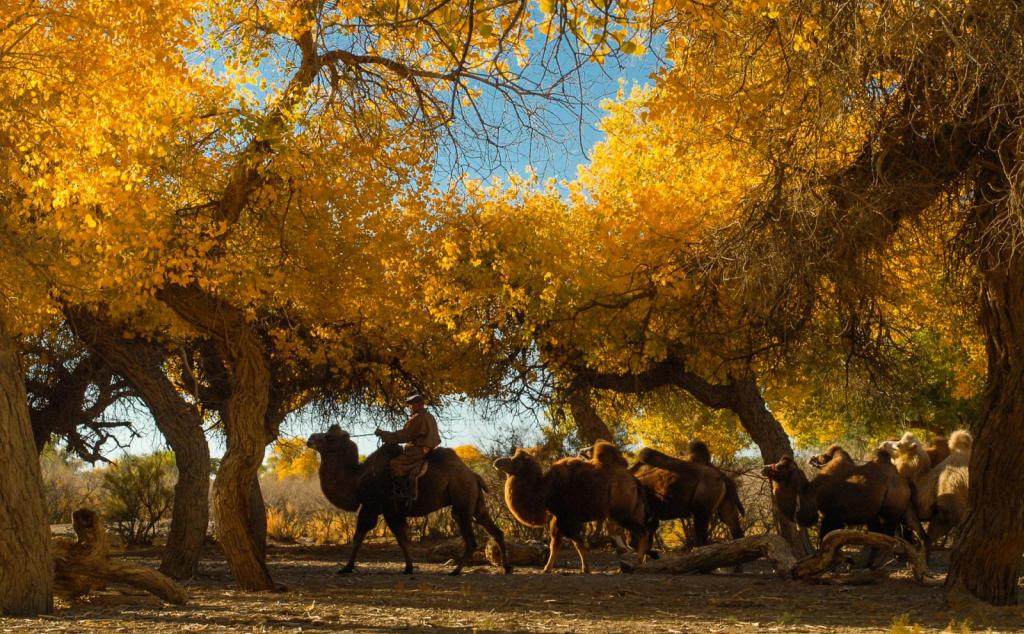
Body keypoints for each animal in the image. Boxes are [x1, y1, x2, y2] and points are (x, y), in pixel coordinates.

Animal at [305, 424, 509, 577]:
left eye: (328, 436)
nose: (310, 438)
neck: (358, 478)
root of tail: (474, 476)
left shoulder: (374, 506)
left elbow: (360, 535)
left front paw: (346, 568)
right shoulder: (392, 511)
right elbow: (402, 539)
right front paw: (408, 568)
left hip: (462, 502)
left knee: (471, 538)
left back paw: (455, 571)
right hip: (476, 502)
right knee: (494, 528)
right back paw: (507, 568)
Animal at [491, 442, 651, 573]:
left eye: (514, 459)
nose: (497, 461)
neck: (544, 490)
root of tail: (634, 481)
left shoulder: (564, 518)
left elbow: (567, 543)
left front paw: (547, 569)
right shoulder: (564, 519)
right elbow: (572, 544)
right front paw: (584, 568)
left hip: (622, 513)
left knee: (643, 532)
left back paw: (638, 563)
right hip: (633, 510)